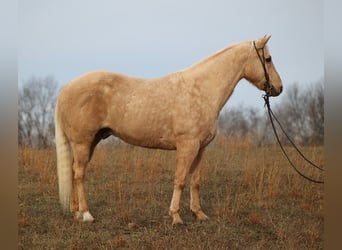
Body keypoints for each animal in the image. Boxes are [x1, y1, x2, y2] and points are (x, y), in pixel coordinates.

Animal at [55, 35, 280, 225]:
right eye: (268, 59)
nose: (278, 88)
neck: (201, 90)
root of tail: (66, 88)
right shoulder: (187, 145)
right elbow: (180, 180)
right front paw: (176, 217)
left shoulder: (201, 148)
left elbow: (195, 181)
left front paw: (199, 214)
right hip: (83, 142)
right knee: (79, 174)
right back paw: (86, 214)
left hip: (90, 142)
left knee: (74, 171)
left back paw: (76, 212)